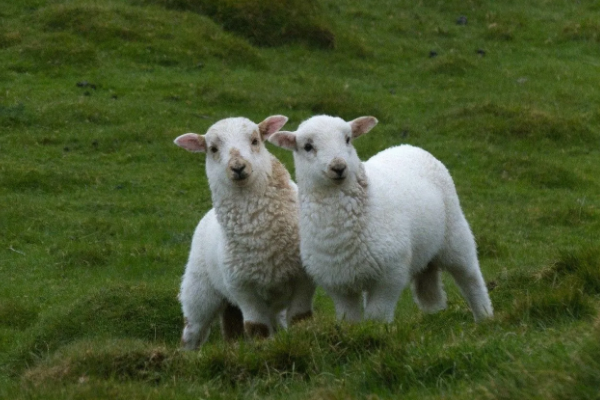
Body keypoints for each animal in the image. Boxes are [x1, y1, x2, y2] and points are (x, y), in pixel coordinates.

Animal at [173, 114, 314, 348]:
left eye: (255, 140)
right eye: (212, 149)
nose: (238, 167)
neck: (259, 233)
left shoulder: (303, 279)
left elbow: (300, 318)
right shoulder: (242, 288)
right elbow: (257, 328)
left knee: (234, 324)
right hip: (200, 290)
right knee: (193, 332)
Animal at [268, 114, 492, 324]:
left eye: (348, 139)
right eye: (307, 146)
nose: (338, 167)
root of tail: (407, 147)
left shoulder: (390, 275)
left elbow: (377, 316)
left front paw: (379, 332)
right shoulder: (337, 284)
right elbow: (350, 319)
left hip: (455, 232)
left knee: (470, 277)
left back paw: (485, 316)